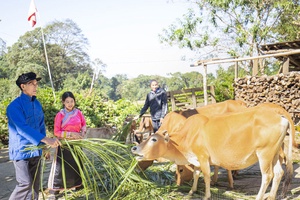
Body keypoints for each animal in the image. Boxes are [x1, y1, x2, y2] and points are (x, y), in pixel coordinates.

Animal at [132, 105, 294, 199]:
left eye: (153, 139)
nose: (134, 148)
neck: (186, 135)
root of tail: (280, 116)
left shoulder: (203, 157)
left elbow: (206, 177)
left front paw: (206, 195)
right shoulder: (196, 159)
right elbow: (196, 174)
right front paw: (191, 191)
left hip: (264, 154)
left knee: (267, 176)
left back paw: (259, 197)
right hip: (274, 154)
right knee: (279, 173)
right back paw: (271, 196)